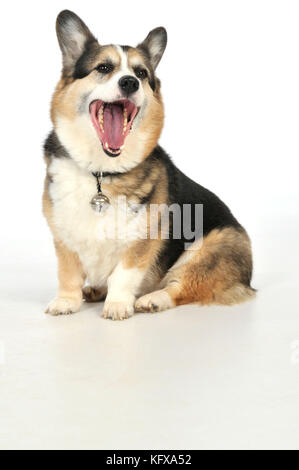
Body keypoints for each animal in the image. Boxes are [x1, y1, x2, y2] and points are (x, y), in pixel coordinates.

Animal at [43, 10, 256, 320]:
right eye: (104, 67)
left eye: (141, 73)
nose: (129, 82)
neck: (101, 173)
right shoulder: (64, 235)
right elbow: (68, 274)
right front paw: (66, 302)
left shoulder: (141, 242)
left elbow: (123, 274)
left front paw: (118, 305)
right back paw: (94, 290)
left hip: (211, 246)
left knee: (182, 285)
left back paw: (154, 299)